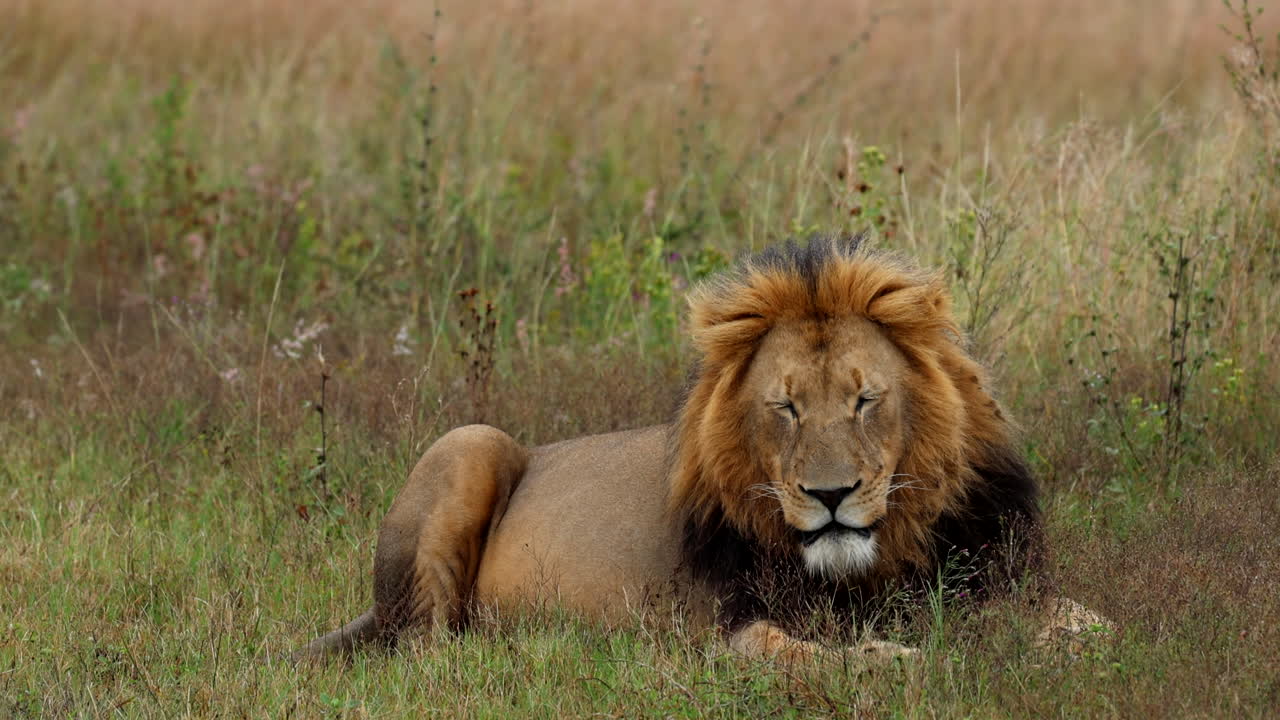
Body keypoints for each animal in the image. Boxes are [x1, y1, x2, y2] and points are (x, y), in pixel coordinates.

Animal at [297, 234, 1062, 665]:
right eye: (785, 407)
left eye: (864, 400)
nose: (830, 496)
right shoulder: (726, 627)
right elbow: (801, 655)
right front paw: (894, 658)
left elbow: (1067, 623)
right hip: (468, 441)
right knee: (425, 653)